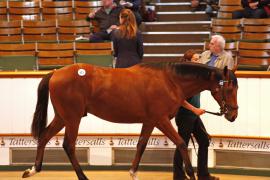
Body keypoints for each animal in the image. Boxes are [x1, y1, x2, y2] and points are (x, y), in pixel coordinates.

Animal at [23, 62, 238, 180]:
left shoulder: (150, 121)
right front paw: (191, 174)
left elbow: (141, 145)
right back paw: (83, 176)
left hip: (62, 117)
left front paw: (133, 172)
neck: (170, 81)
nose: (233, 115)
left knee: (44, 137)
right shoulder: (161, 120)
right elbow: (181, 143)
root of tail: (56, 72)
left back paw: (33, 170)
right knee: (68, 145)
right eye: (229, 89)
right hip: (72, 118)